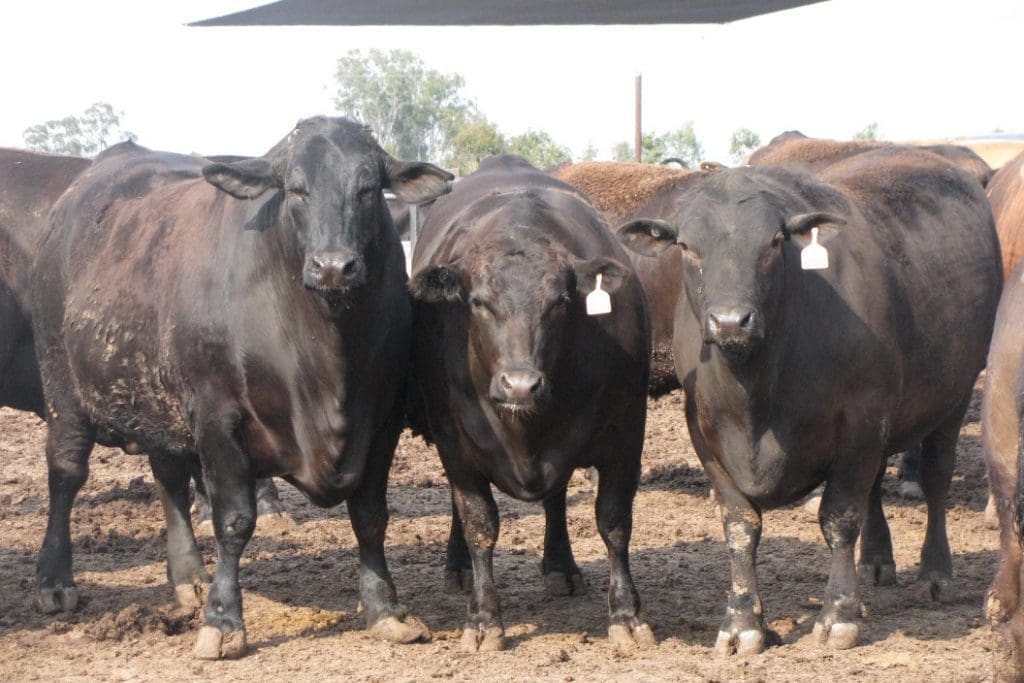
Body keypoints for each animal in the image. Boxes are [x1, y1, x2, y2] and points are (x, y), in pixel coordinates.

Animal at [29, 118, 452, 663]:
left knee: (168, 480)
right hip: (64, 391)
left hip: (160, 405)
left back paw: (187, 578)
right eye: (295, 189)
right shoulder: (218, 420)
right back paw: (54, 580)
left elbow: (371, 516)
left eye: (367, 188)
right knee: (65, 475)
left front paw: (386, 609)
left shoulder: (381, 420)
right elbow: (233, 522)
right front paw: (223, 620)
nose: (333, 267)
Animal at [614, 147, 999, 655]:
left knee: (936, 479)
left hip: (954, 396)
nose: (730, 321)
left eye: (774, 243)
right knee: (877, 486)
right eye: (688, 247)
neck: (757, 396)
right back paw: (877, 561)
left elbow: (839, 518)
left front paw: (838, 615)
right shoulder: (705, 434)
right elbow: (740, 526)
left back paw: (936, 572)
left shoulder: (861, 423)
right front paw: (742, 624)